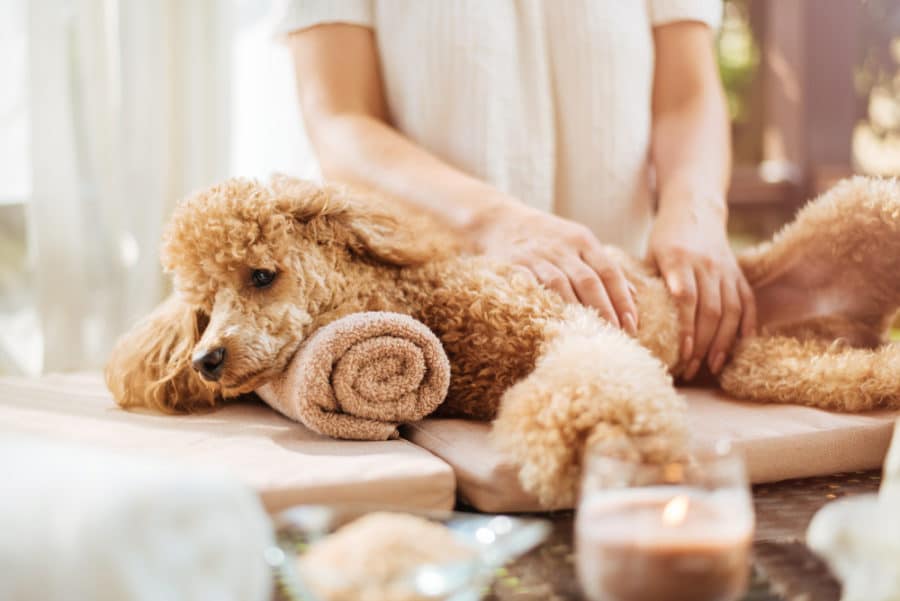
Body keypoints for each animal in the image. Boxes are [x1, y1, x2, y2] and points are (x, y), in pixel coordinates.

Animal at [107, 175, 900, 506]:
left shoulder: (570, 325)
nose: (208, 359)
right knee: (848, 369)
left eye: (262, 274)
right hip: (765, 362)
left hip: (870, 206)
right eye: (203, 305)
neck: (426, 301)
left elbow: (591, 377)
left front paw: (591, 437)